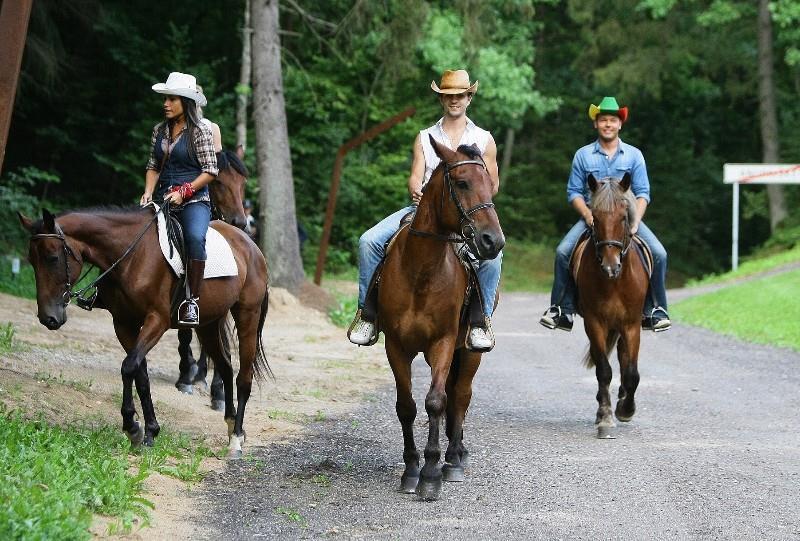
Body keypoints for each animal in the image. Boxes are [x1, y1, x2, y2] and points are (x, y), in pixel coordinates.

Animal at [18, 207, 268, 456]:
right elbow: (141, 374)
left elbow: (129, 367)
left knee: (243, 378)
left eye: (52, 258)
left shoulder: (157, 321)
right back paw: (231, 424)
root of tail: (251, 245)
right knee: (225, 367)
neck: (131, 256)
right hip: (208, 325)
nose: (48, 318)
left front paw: (131, 426)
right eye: (31, 260)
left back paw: (236, 439)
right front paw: (148, 432)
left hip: (247, 316)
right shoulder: (123, 324)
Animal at [378, 137, 504, 500]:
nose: (493, 241)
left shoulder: (444, 343)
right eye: (462, 183)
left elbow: (436, 401)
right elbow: (406, 406)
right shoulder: (396, 346)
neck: (421, 271)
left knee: (460, 397)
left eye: (490, 183)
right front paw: (410, 470)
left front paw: (431, 472)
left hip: (469, 351)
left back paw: (454, 459)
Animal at [576, 173, 648, 438]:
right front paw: (605, 418)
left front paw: (626, 409)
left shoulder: (632, 325)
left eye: (623, 217)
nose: (610, 266)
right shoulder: (594, 322)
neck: (614, 282)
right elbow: (603, 370)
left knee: (624, 360)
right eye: (594, 218)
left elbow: (632, 373)